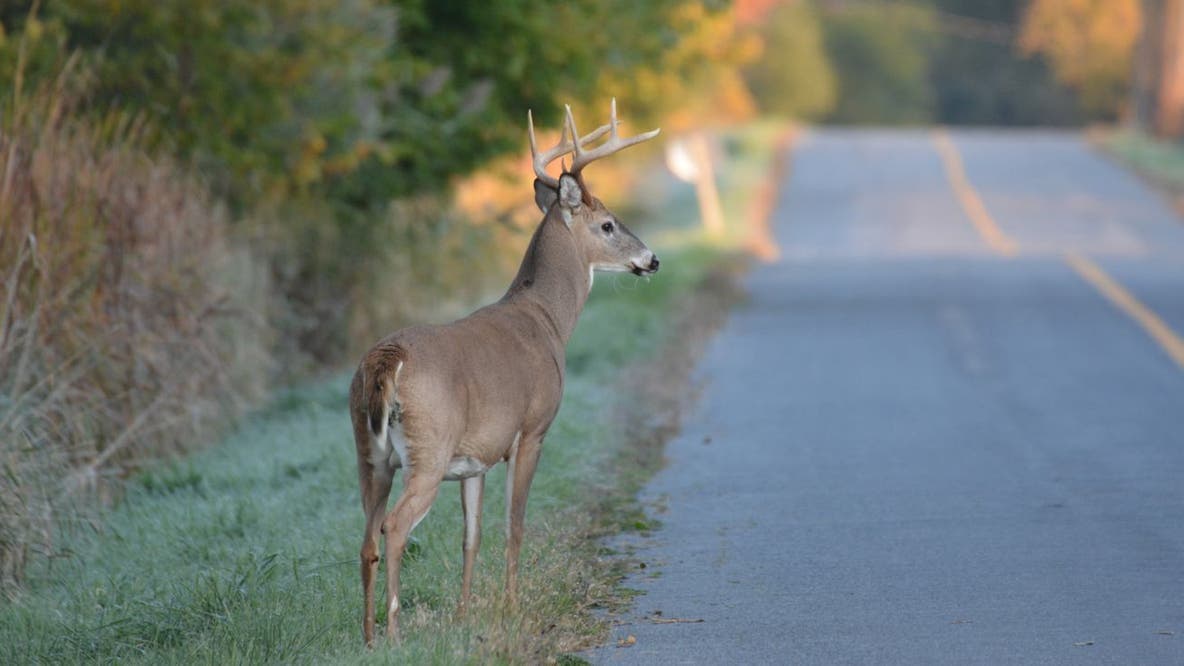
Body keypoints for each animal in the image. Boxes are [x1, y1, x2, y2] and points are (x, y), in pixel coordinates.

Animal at [349, 99, 660, 644]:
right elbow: (515, 524)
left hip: (370, 455)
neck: (548, 320)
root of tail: (386, 358)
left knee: (366, 536)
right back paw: (395, 633)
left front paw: (463, 615)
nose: (653, 259)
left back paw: (368, 638)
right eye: (607, 224)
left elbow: (471, 535)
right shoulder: (532, 429)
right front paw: (511, 608)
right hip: (428, 450)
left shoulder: (476, 457)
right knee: (395, 527)